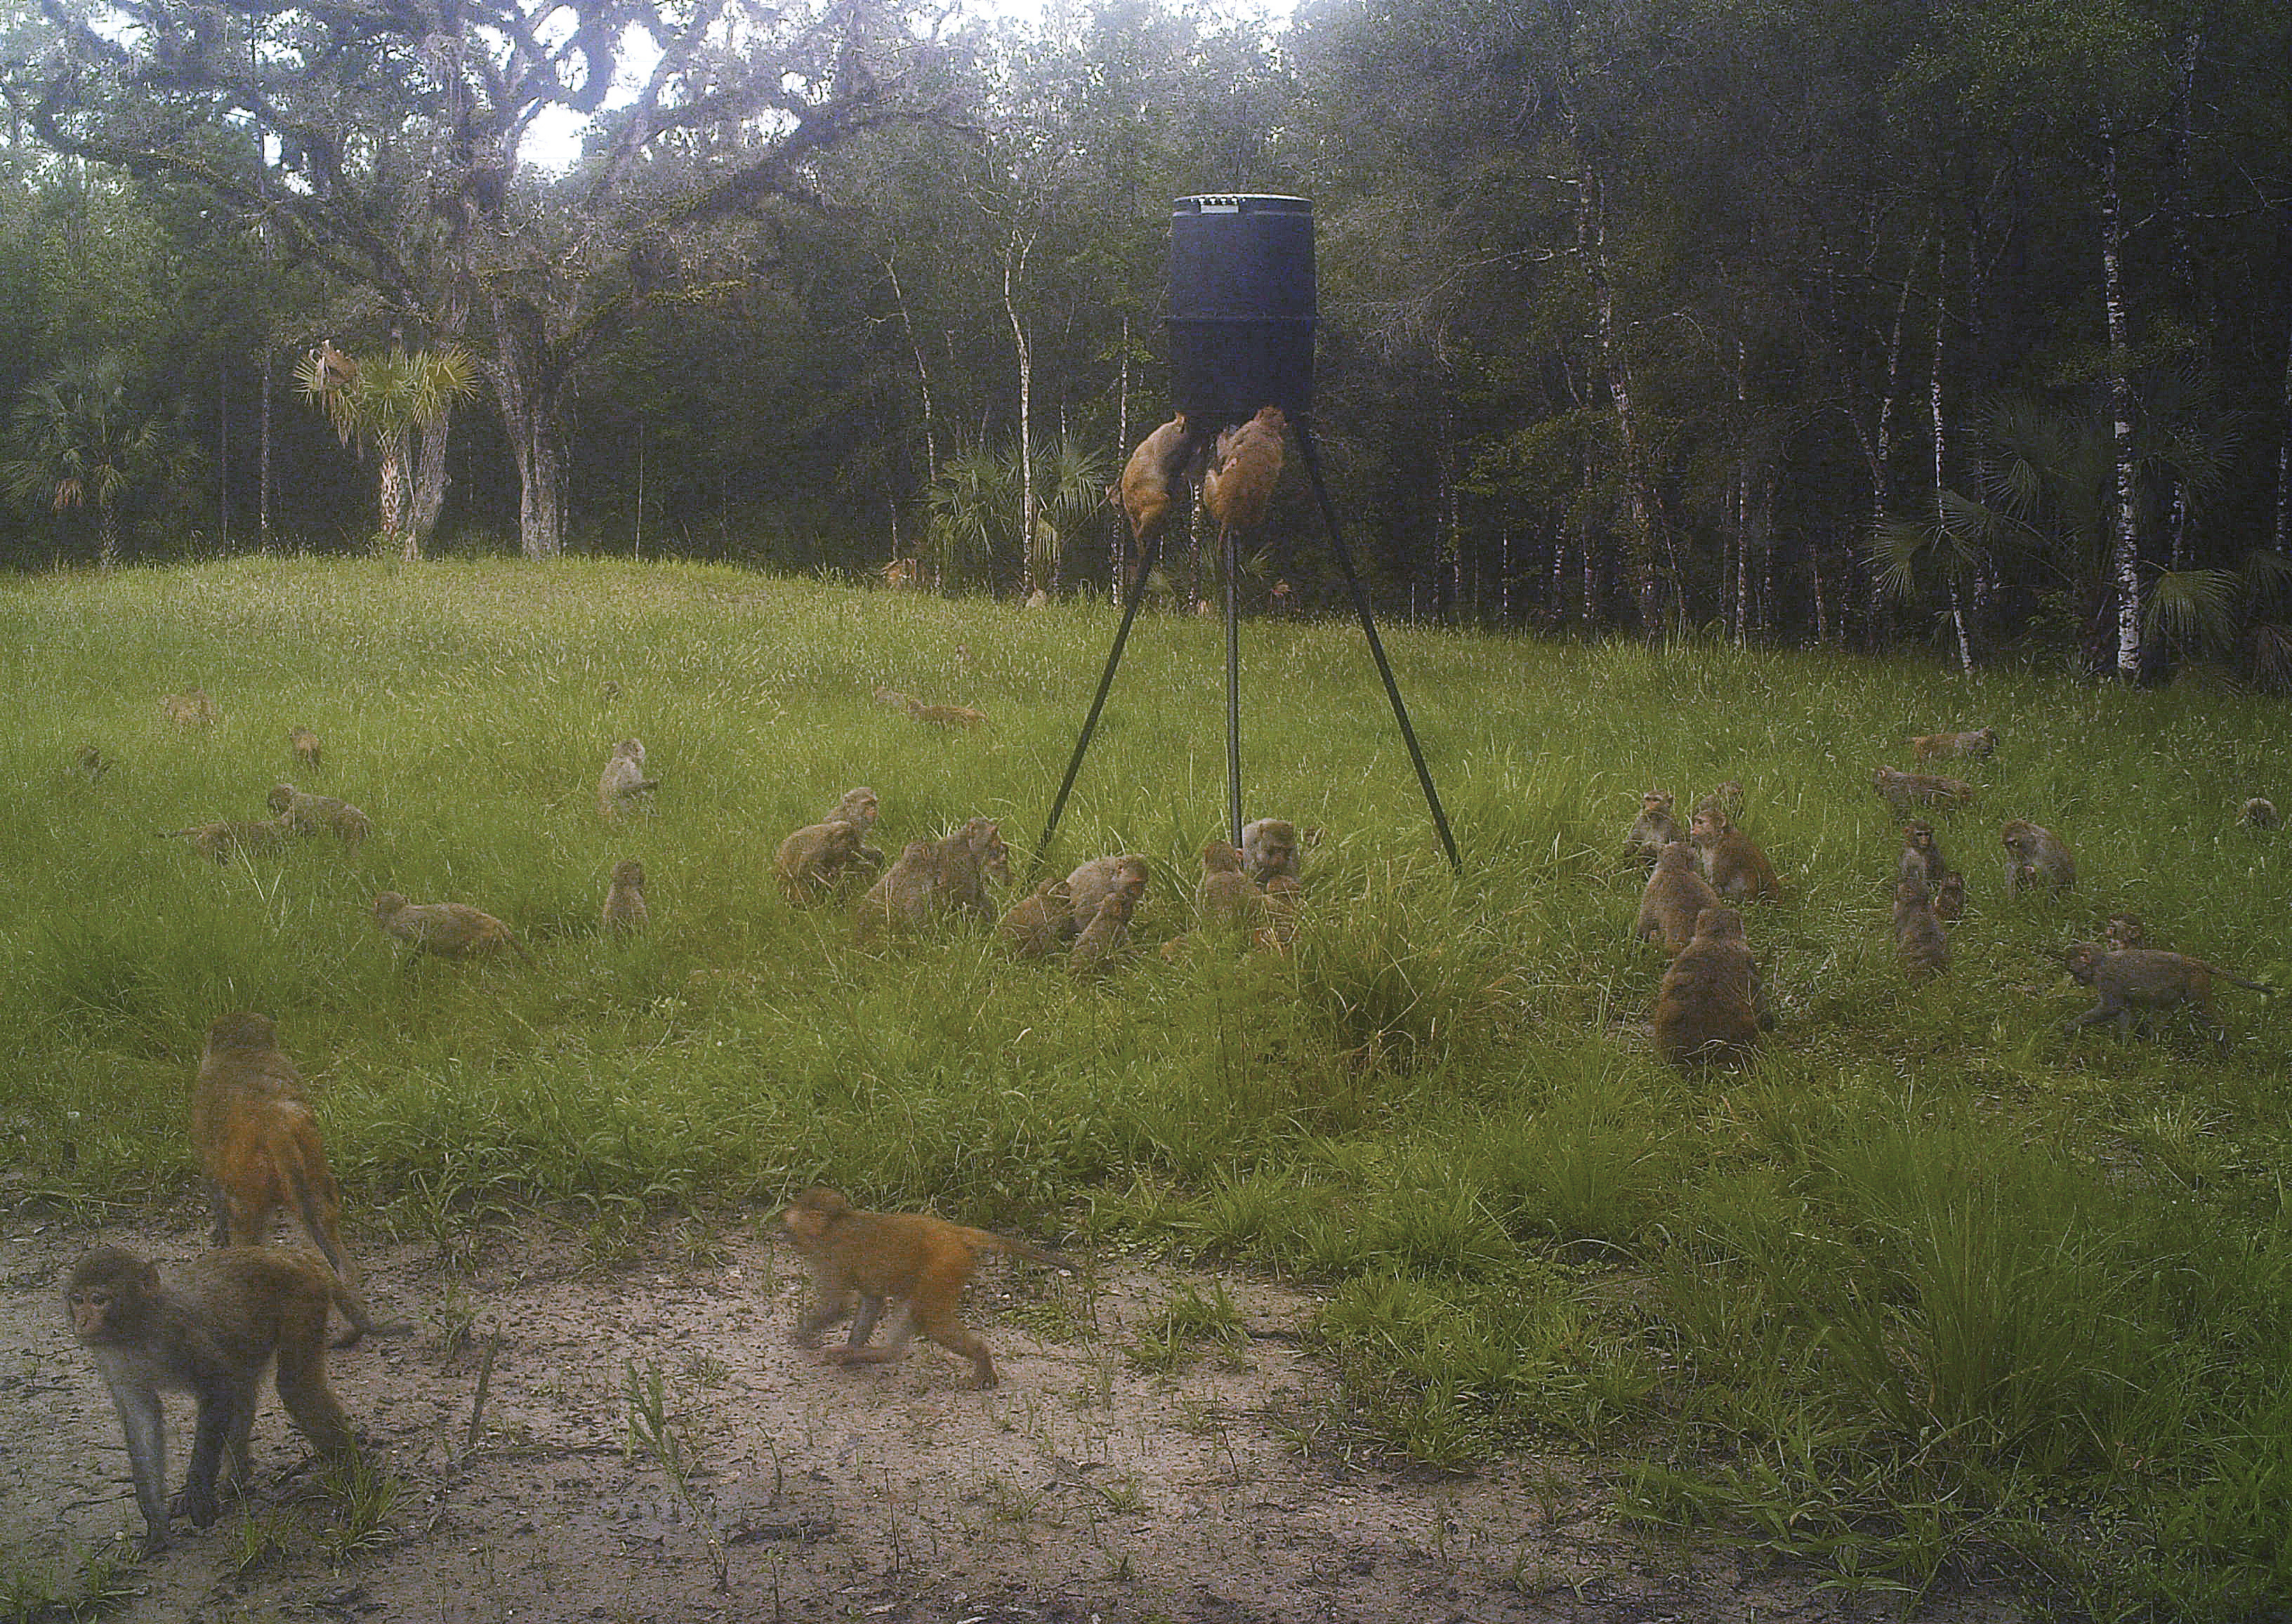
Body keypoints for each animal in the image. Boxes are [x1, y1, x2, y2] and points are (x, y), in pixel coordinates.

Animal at [67, 1245, 380, 1555]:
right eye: (78, 1300)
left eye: (99, 1300)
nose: (82, 1322)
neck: (137, 1331)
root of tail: (291, 1255)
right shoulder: (111, 1359)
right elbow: (142, 1420)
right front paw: (156, 1527)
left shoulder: (181, 1334)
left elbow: (219, 1388)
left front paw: (198, 1494)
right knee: (244, 1386)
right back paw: (235, 1481)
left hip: (304, 1297)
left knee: (294, 1386)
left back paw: (347, 1475)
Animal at [780, 1187, 1065, 1388]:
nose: (784, 1234)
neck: (834, 1225)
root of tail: (956, 1233)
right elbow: (872, 1298)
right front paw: (852, 1349)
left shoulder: (830, 1260)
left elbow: (839, 1305)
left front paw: (802, 1335)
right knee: (914, 1308)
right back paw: (885, 1354)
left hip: (945, 1266)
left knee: (931, 1319)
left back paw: (981, 1359)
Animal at [2062, 943, 2270, 1047]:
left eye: (2074, 971)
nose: (2077, 981)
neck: (2100, 962)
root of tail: (2194, 962)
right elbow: (2125, 1009)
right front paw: (2124, 1045)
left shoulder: (2105, 978)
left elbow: (2111, 1007)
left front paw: (2070, 1027)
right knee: (2161, 1011)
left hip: (2196, 984)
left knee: (2203, 1012)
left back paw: (2226, 1044)